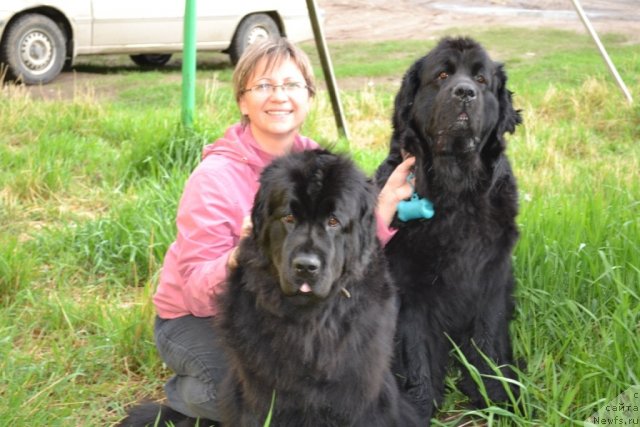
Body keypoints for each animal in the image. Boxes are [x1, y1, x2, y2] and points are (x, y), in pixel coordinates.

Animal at [378, 36, 524, 422]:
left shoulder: (491, 279)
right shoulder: (409, 288)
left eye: (481, 79)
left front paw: (497, 397)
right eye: (442, 76)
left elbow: (489, 340)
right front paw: (418, 406)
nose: (464, 92)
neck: (456, 189)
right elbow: (415, 350)